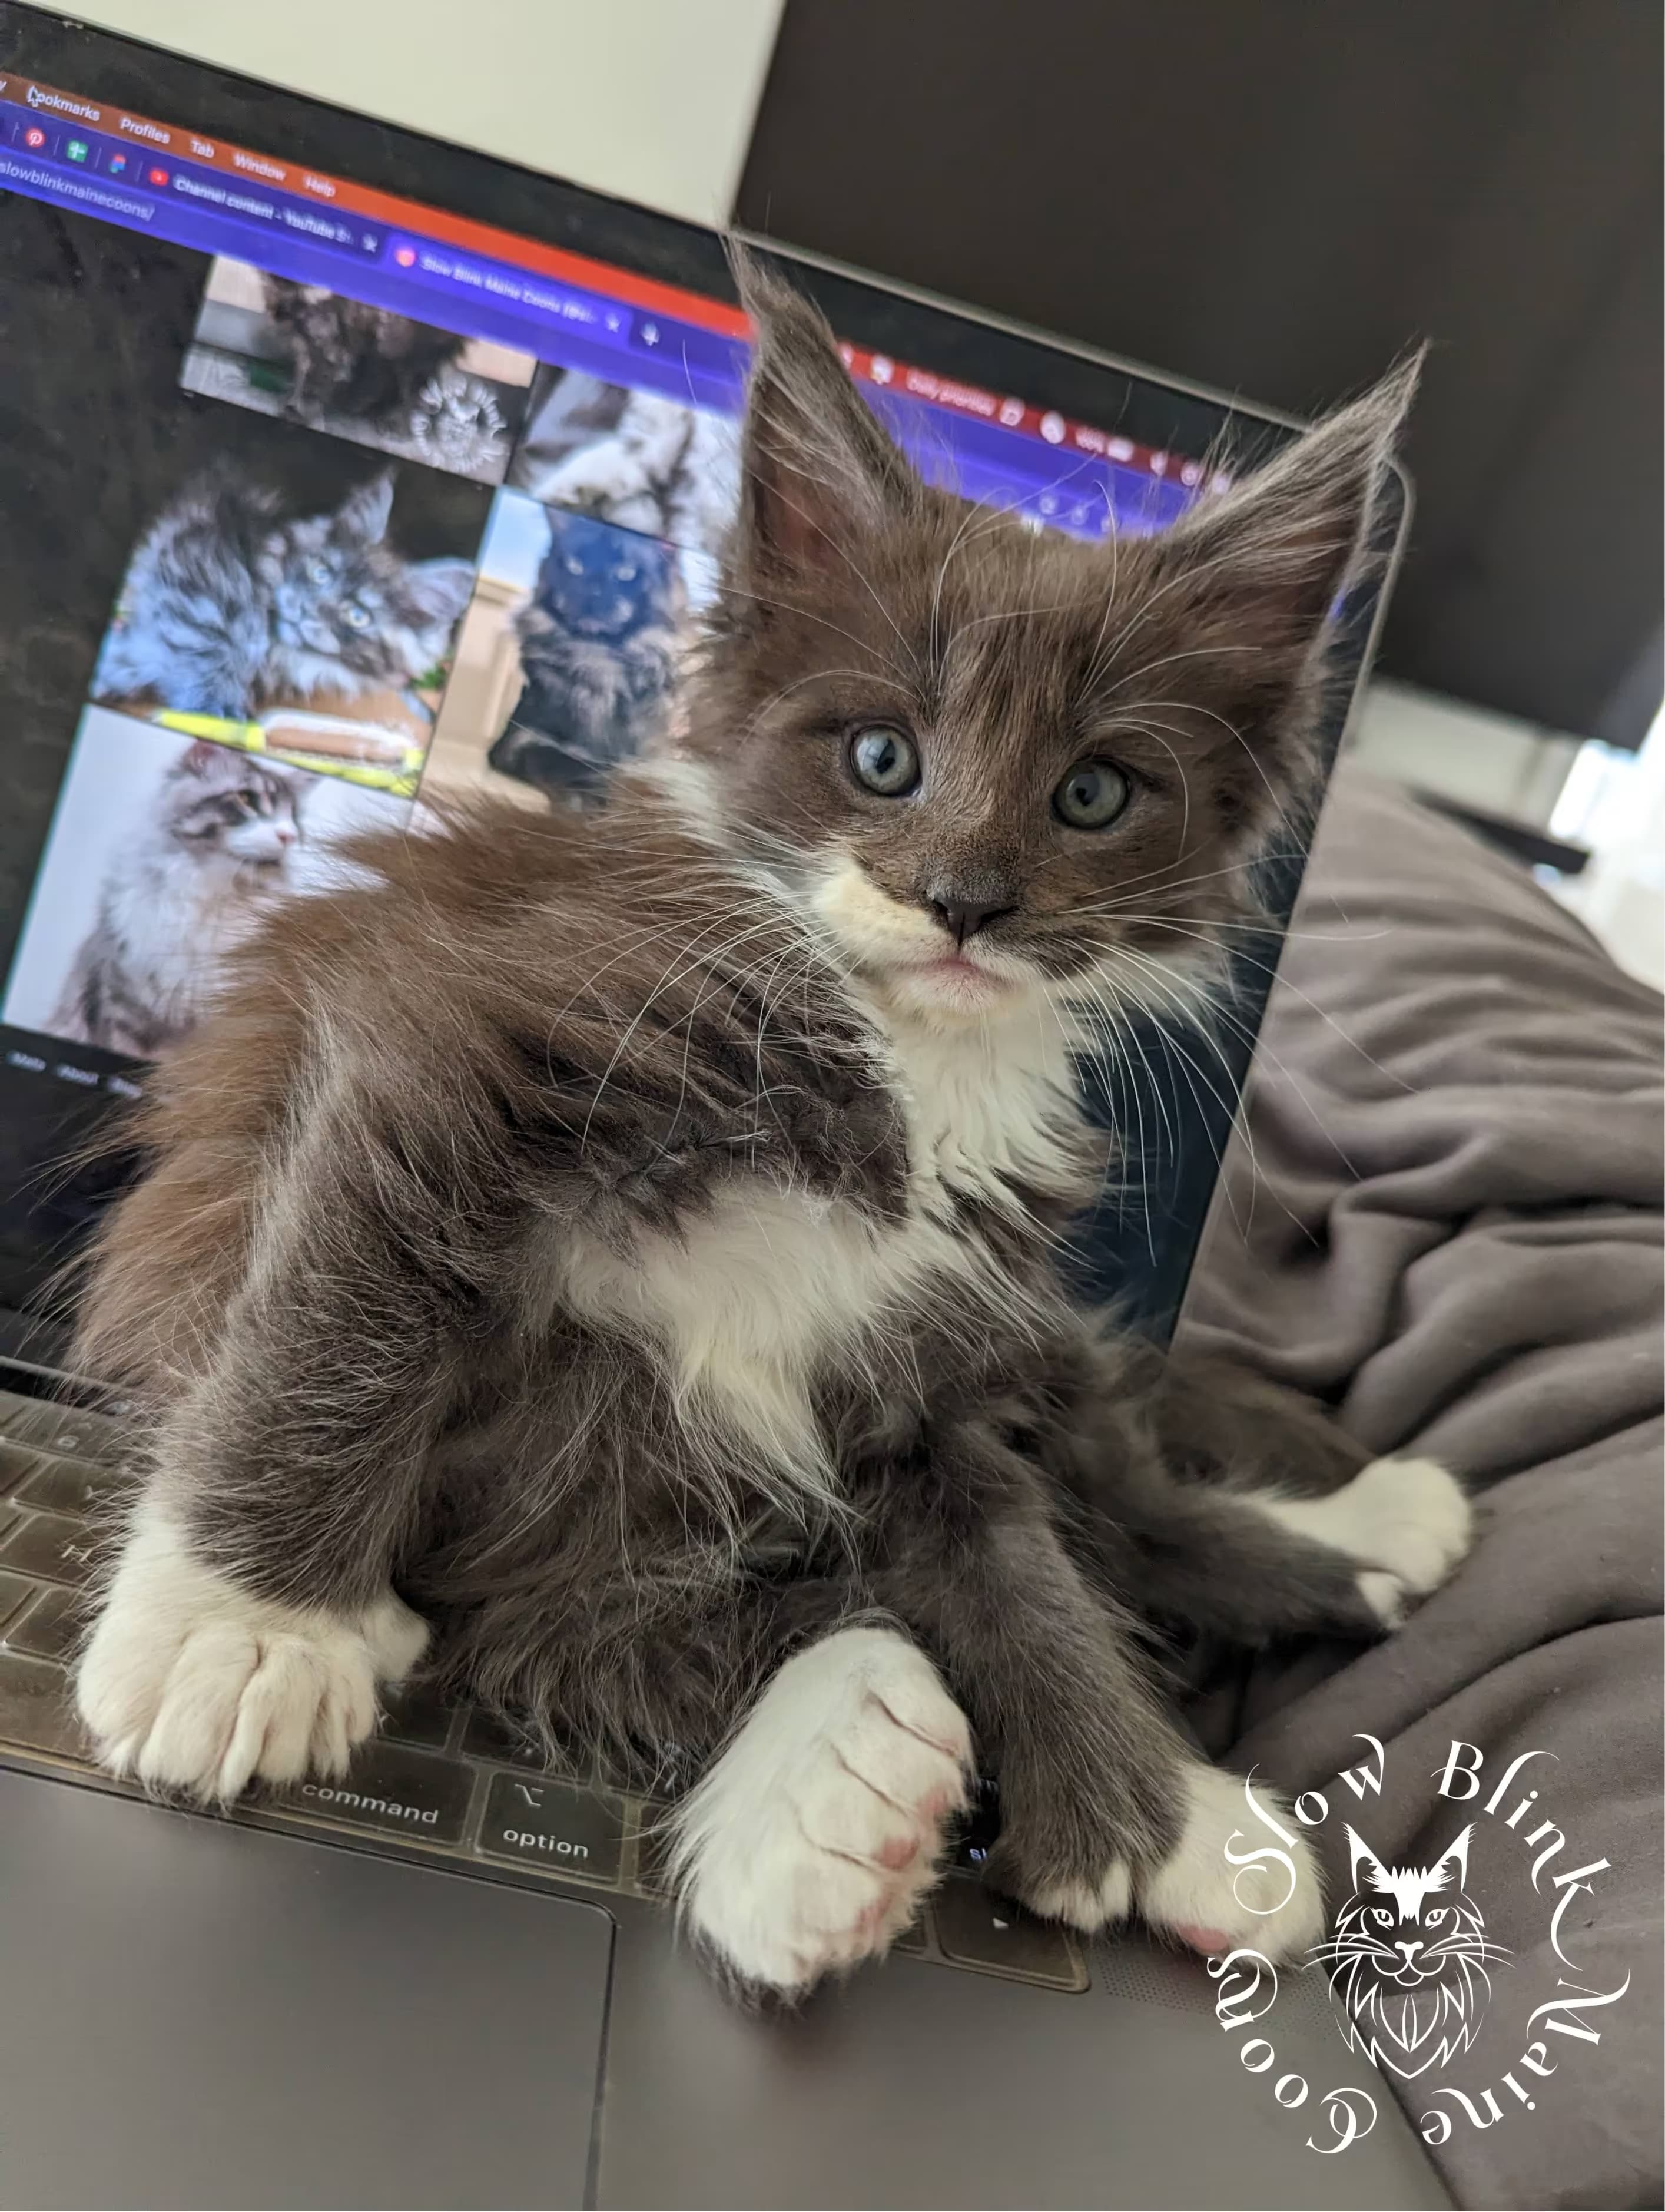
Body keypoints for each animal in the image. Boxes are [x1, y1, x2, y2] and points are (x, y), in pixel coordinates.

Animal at [91, 471, 473, 721]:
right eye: (321, 573)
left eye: (358, 616)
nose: (307, 610)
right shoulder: (200, 565)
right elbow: (217, 640)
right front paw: (214, 703)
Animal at [486, 506, 681, 796]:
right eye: (575, 566)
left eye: (626, 572)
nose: (592, 593)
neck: (596, 658)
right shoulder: (519, 740)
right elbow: (572, 762)